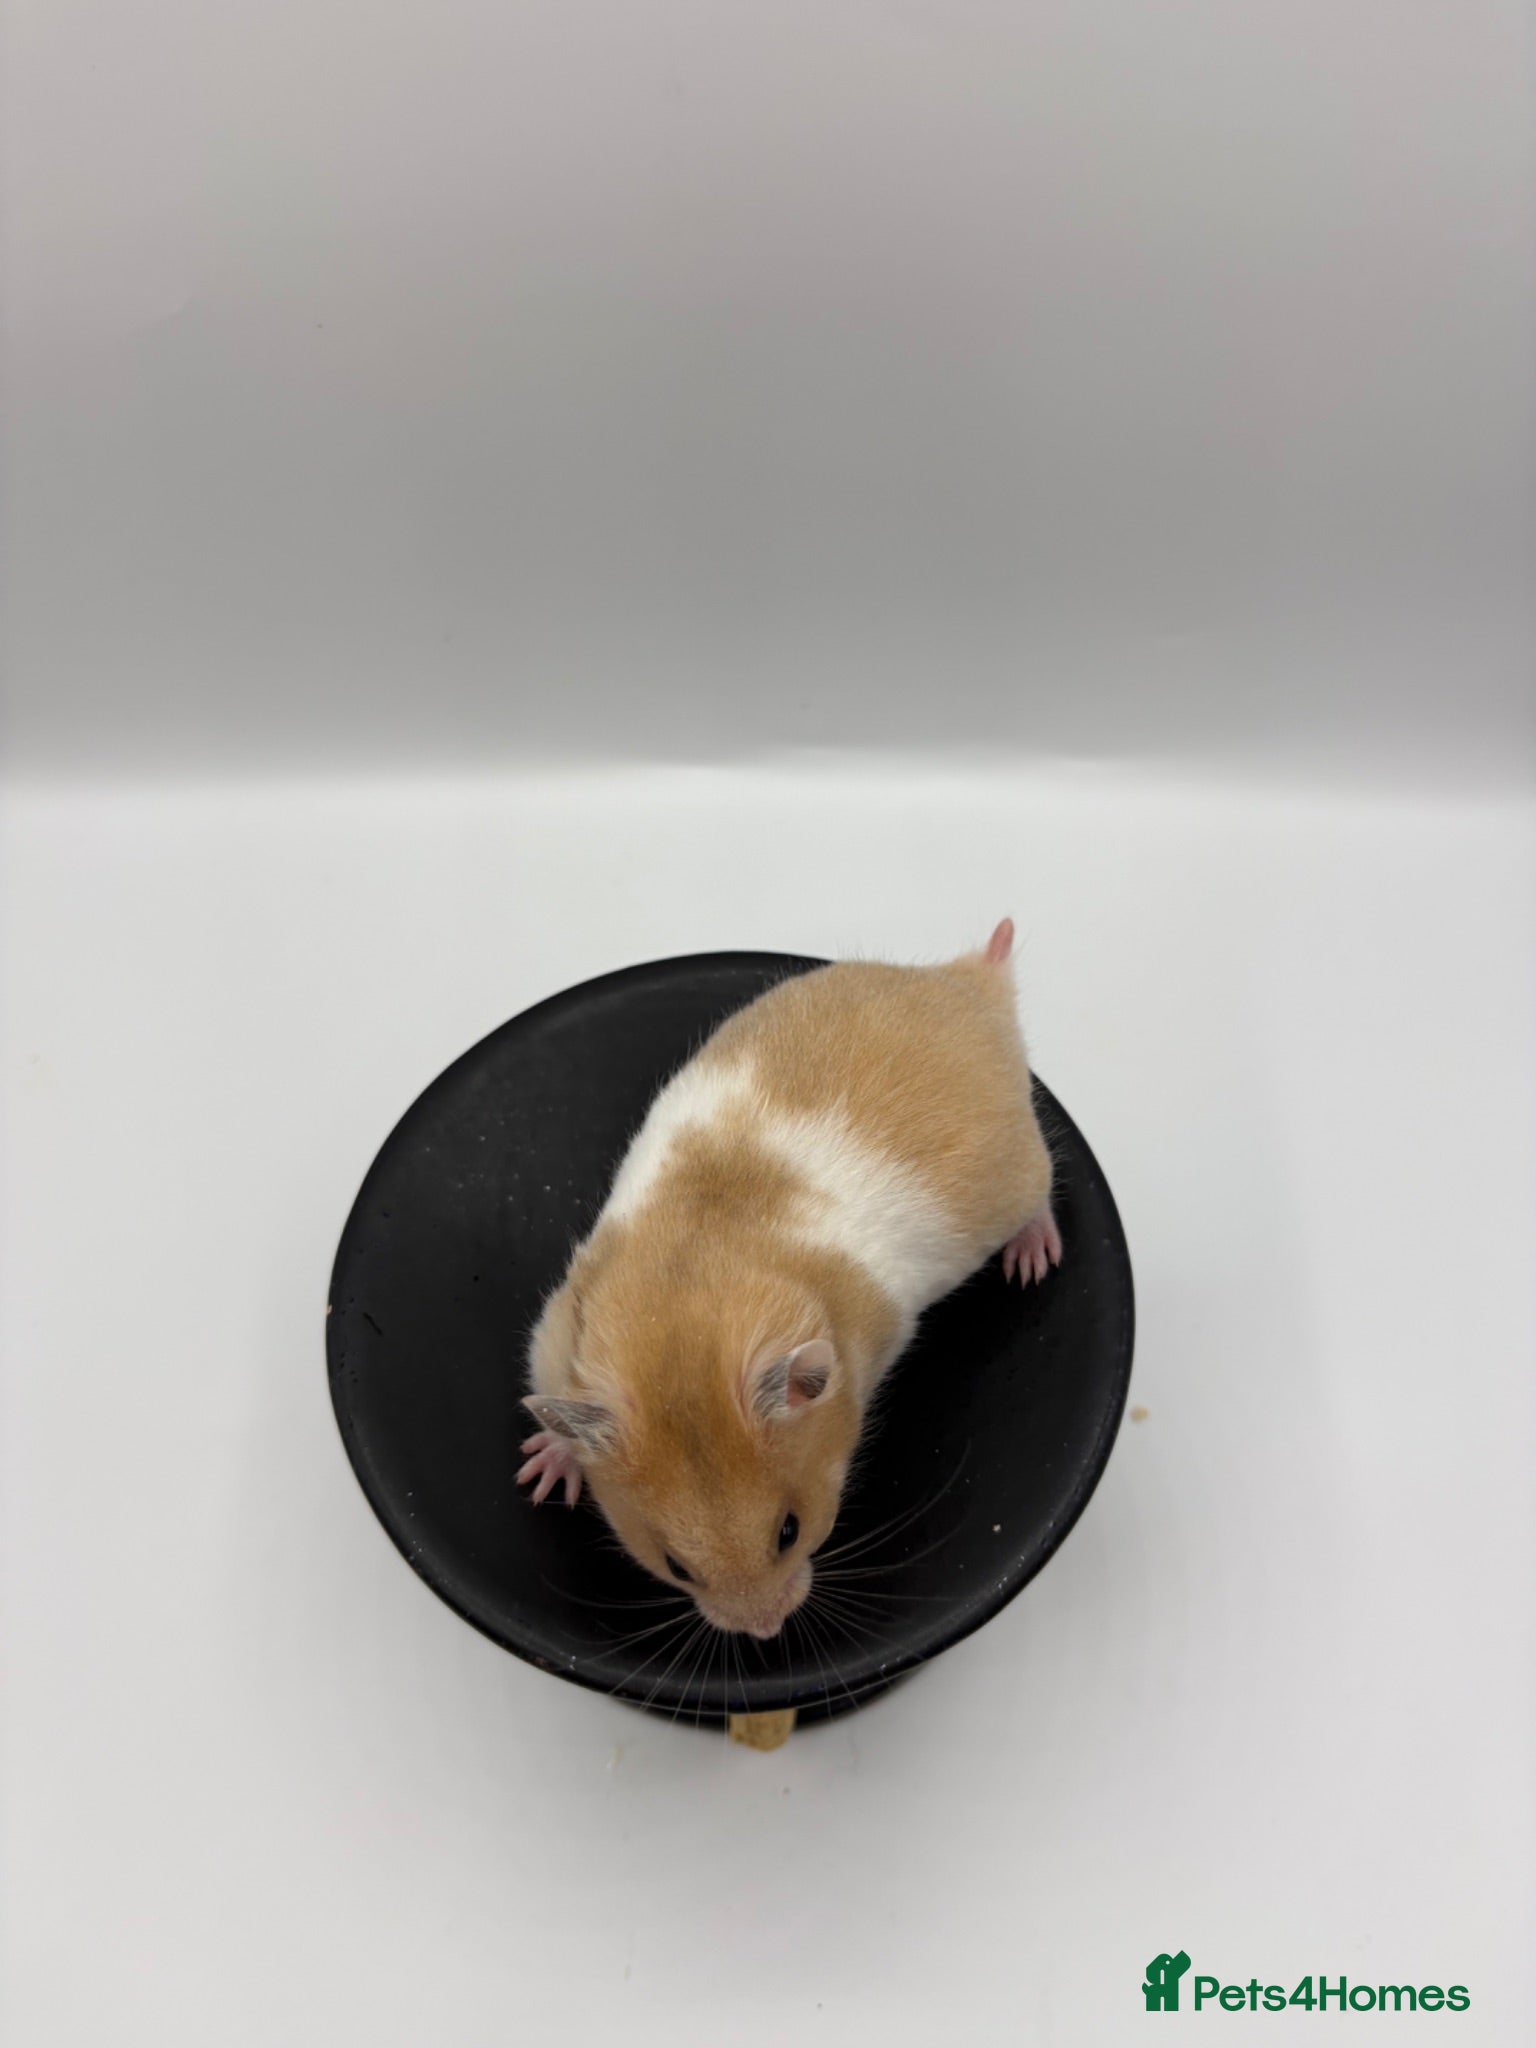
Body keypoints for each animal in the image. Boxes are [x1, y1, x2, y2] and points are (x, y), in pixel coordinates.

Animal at [517, 919, 1061, 1639]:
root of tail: (972, 987)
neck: (686, 1307)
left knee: (1045, 1194)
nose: (765, 1633)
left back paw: (1033, 1260)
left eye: (789, 1532)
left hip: (1022, 1170)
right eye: (676, 1566)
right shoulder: (552, 1336)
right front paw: (539, 1475)